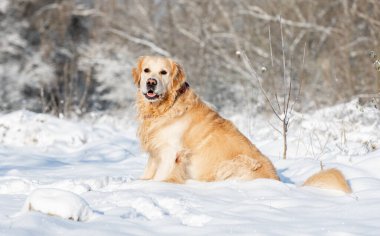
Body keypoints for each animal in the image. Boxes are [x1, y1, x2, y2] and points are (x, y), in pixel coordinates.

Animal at [132, 56, 352, 193]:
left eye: (163, 72)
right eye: (147, 70)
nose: (151, 82)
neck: (165, 107)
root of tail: (279, 183)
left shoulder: (171, 152)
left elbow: (160, 178)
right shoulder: (155, 152)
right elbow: (146, 173)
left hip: (236, 163)